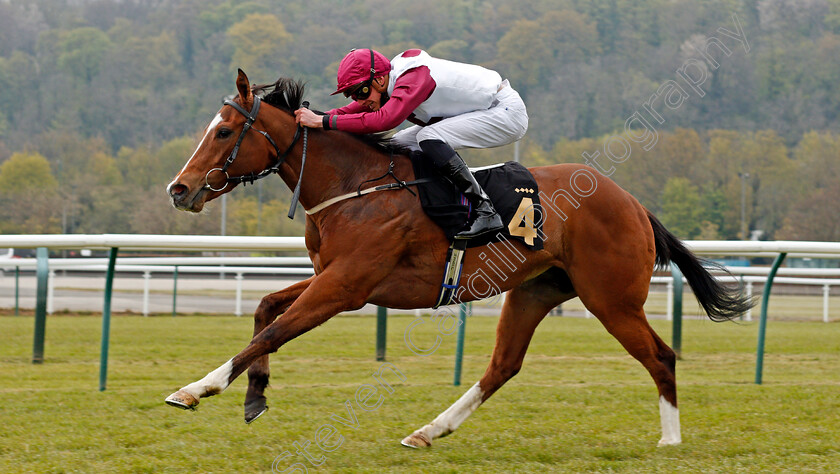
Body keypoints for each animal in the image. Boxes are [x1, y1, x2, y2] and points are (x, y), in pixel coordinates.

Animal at [166, 70, 756, 448]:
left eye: (224, 131)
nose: (180, 189)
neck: (354, 185)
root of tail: (633, 203)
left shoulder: (345, 287)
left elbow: (272, 330)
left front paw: (195, 390)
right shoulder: (331, 278)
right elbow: (266, 308)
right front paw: (255, 396)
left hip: (612, 298)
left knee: (661, 357)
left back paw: (670, 441)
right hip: (537, 290)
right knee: (503, 366)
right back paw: (428, 431)